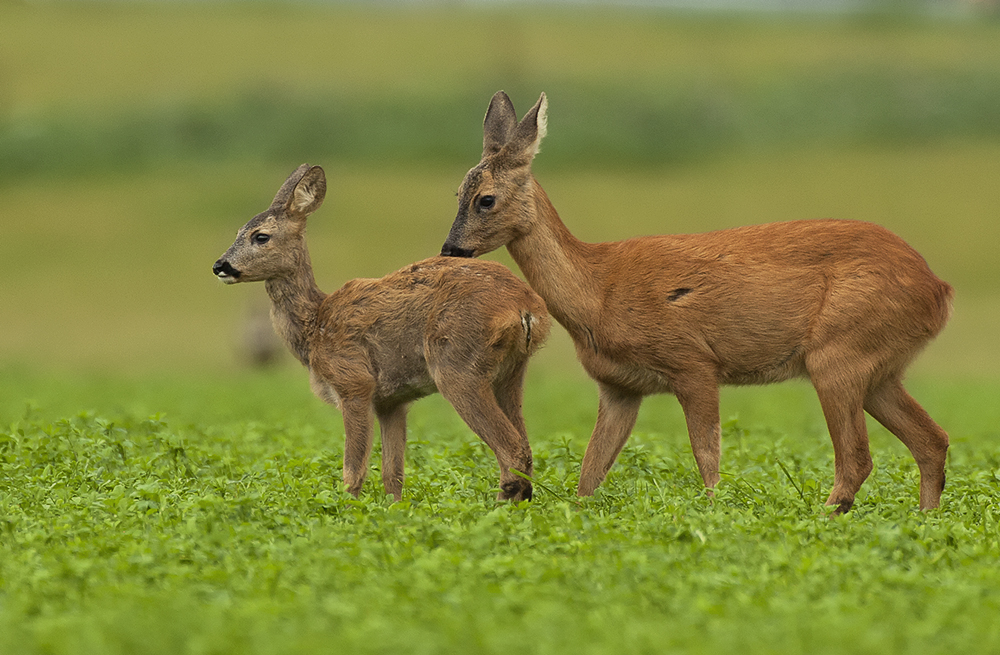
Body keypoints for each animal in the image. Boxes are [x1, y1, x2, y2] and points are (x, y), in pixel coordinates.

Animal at [214, 164, 552, 502]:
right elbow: (393, 474)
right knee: (525, 449)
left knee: (512, 450)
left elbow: (353, 471)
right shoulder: (392, 402)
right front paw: (393, 509)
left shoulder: (354, 383)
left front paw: (347, 509)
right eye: (237, 232)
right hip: (510, 372)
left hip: (458, 366)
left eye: (261, 236)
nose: (220, 265)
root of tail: (526, 308)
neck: (315, 326)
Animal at [440, 92, 952, 516]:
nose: (451, 249)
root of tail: (938, 289)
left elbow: (706, 453)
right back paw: (925, 518)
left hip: (838, 352)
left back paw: (827, 516)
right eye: (457, 194)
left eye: (485, 199)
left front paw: (712, 511)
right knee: (933, 440)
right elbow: (591, 469)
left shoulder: (694, 362)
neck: (598, 292)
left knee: (858, 458)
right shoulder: (619, 387)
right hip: (879, 369)